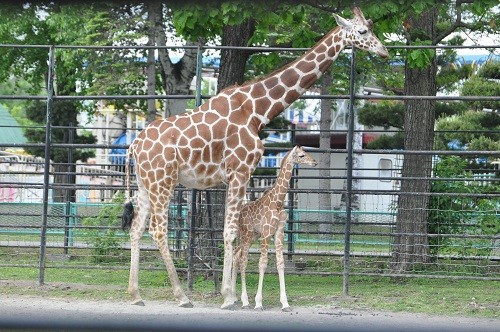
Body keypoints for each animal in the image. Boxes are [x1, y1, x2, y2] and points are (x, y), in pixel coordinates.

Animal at [233, 145, 316, 312]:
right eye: (302, 155)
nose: (314, 162)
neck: (278, 201)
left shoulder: (279, 233)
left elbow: (280, 263)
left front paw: (285, 304)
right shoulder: (266, 233)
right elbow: (263, 263)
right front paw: (258, 303)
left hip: (252, 236)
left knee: (235, 254)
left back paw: (231, 296)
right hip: (246, 234)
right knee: (242, 260)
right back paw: (245, 301)